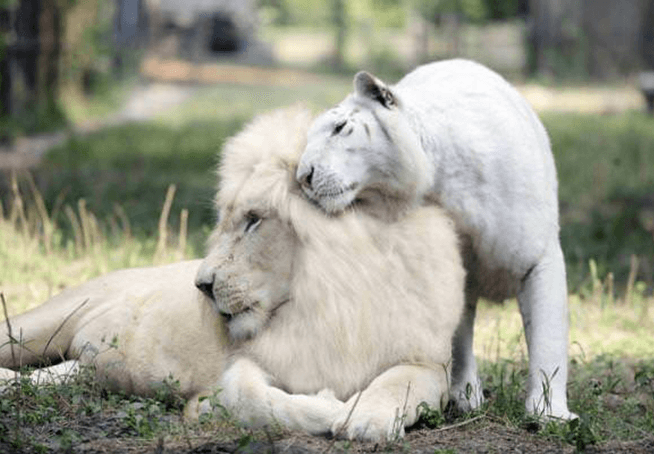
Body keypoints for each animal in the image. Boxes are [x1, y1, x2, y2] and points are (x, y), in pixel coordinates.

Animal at [2, 105, 468, 440]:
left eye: (253, 220)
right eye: (228, 221)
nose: (201, 285)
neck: (330, 300)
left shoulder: (428, 363)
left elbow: (396, 384)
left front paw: (367, 418)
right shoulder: (243, 367)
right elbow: (255, 400)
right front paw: (332, 407)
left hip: (82, 364)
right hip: (38, 326)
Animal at [300, 60, 576, 422]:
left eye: (339, 127)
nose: (302, 177)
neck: (442, 178)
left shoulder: (539, 256)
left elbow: (548, 337)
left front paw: (549, 414)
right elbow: (457, 337)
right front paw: (465, 396)